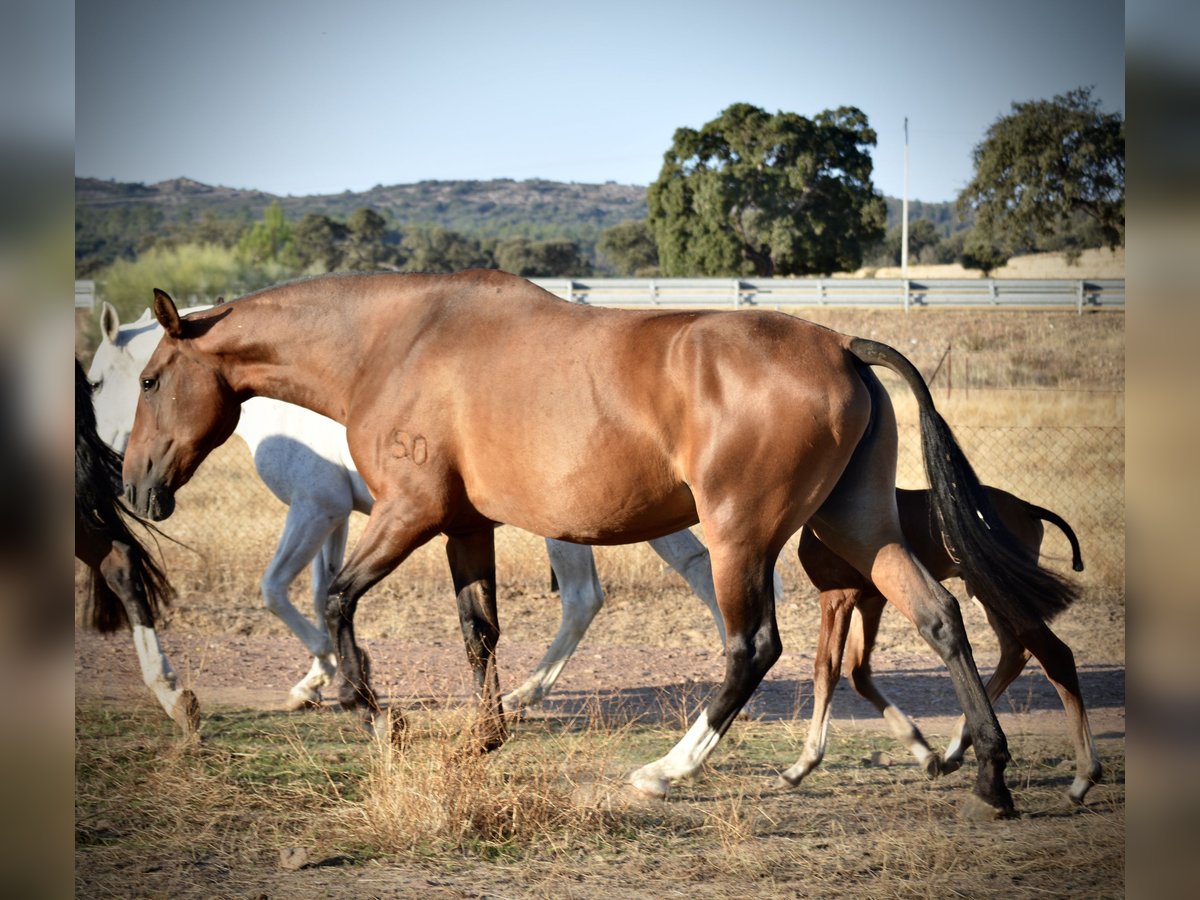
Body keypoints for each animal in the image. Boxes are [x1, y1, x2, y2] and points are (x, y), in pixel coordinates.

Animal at [88, 303, 782, 710]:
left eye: (141, 381)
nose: (131, 484)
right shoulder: (344, 517)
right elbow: (315, 592)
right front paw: (325, 676)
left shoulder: (330, 509)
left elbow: (283, 590)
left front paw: (335, 677)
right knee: (688, 573)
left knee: (595, 598)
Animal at [782, 489, 1099, 806]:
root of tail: (1026, 507)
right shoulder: (870, 599)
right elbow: (858, 672)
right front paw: (926, 755)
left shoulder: (839, 594)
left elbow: (826, 668)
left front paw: (801, 766)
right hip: (982, 592)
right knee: (1015, 651)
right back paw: (956, 749)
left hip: (996, 591)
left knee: (1054, 654)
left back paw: (1083, 779)